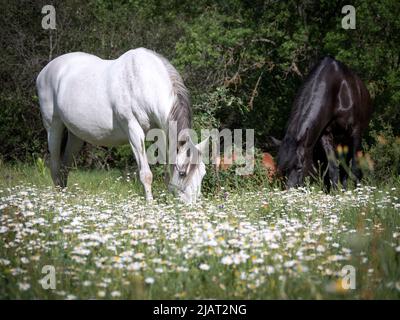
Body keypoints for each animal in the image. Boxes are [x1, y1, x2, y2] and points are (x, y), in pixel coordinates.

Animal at [36, 47, 208, 202]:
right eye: (182, 173)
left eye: (203, 174)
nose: (191, 206)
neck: (144, 83)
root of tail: (44, 71)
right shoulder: (133, 131)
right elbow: (146, 175)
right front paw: (150, 205)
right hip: (53, 127)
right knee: (55, 166)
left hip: (75, 136)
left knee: (65, 168)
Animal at [276, 56, 372, 189]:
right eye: (282, 169)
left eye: (299, 167)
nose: (290, 191)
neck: (337, 92)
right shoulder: (325, 134)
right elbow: (333, 168)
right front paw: (336, 191)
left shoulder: (355, 131)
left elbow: (355, 168)